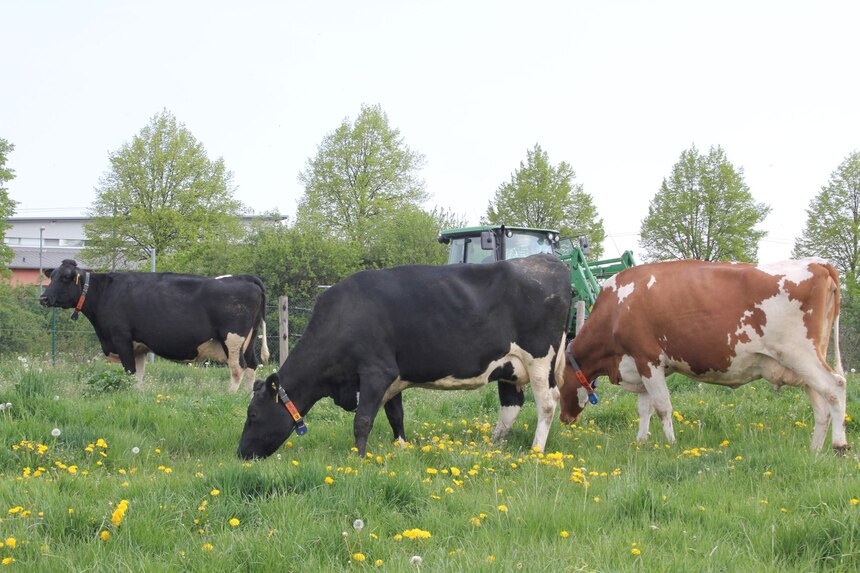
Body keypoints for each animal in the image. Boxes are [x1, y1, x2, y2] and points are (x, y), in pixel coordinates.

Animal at [39, 260, 268, 392]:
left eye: (65, 278)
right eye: (51, 276)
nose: (43, 298)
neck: (104, 292)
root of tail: (245, 277)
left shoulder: (121, 338)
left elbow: (130, 372)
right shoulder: (138, 346)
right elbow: (138, 376)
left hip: (233, 339)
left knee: (238, 368)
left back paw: (230, 396)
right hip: (248, 340)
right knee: (252, 365)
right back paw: (246, 396)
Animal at [237, 252, 572, 458]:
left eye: (252, 414)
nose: (241, 454)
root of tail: (547, 260)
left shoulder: (376, 372)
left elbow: (363, 420)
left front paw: (358, 458)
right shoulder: (393, 377)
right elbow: (395, 415)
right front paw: (401, 448)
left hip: (540, 360)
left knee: (547, 404)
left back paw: (536, 450)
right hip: (510, 366)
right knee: (511, 405)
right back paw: (493, 445)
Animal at [556, 258, 848, 452]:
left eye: (557, 386)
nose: (565, 419)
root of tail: (818, 264)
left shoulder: (648, 359)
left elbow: (662, 406)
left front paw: (671, 444)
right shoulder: (639, 365)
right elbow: (644, 407)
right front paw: (641, 440)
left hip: (799, 353)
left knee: (835, 386)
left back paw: (839, 444)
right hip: (806, 361)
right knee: (820, 404)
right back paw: (814, 450)